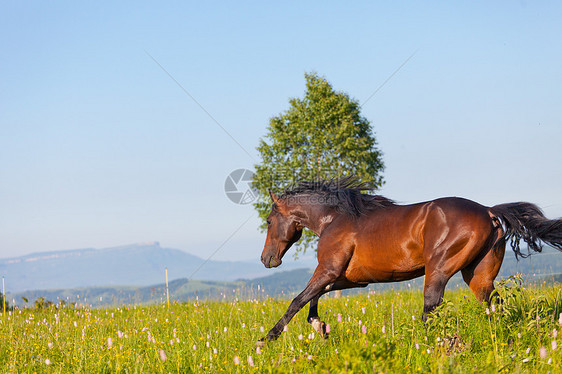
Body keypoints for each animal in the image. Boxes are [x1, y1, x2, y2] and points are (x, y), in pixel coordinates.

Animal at [256, 177, 560, 346]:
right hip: (478, 277)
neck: (335, 218)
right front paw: (320, 328)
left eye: (269, 221)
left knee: (431, 308)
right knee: (494, 306)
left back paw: (424, 345)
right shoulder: (350, 278)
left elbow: (298, 300)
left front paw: (266, 339)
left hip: (438, 271)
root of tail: (489, 211)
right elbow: (313, 300)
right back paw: (504, 339)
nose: (266, 259)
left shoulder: (329, 270)